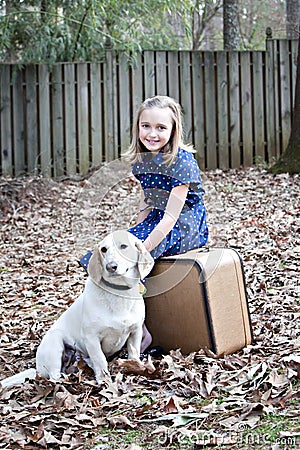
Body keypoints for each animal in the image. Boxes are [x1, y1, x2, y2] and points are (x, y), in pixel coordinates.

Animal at [0, 230, 154, 388]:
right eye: (104, 249)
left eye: (123, 246)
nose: (111, 266)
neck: (119, 293)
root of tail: (37, 368)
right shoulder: (91, 337)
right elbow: (100, 360)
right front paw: (104, 380)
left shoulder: (135, 331)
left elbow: (134, 353)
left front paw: (136, 367)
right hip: (55, 343)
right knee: (54, 377)